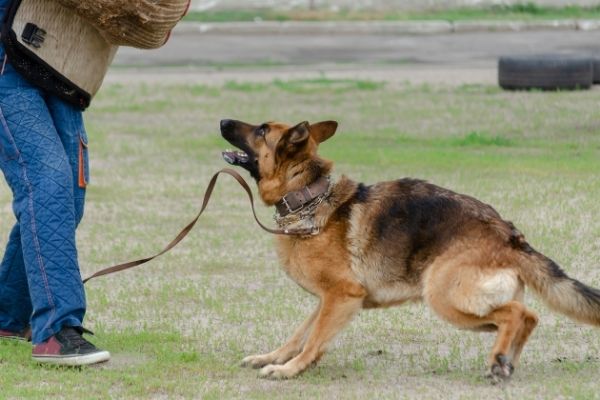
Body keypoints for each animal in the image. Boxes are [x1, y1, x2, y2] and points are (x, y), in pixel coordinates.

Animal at [220, 119, 600, 382]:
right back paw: (505, 362)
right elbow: (300, 334)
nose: (223, 121)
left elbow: (313, 341)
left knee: (518, 313)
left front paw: (289, 370)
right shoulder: (328, 300)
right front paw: (273, 357)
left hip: (445, 297)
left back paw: (498, 362)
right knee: (528, 316)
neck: (308, 196)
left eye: (261, 129)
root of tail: (508, 234)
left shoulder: (343, 295)